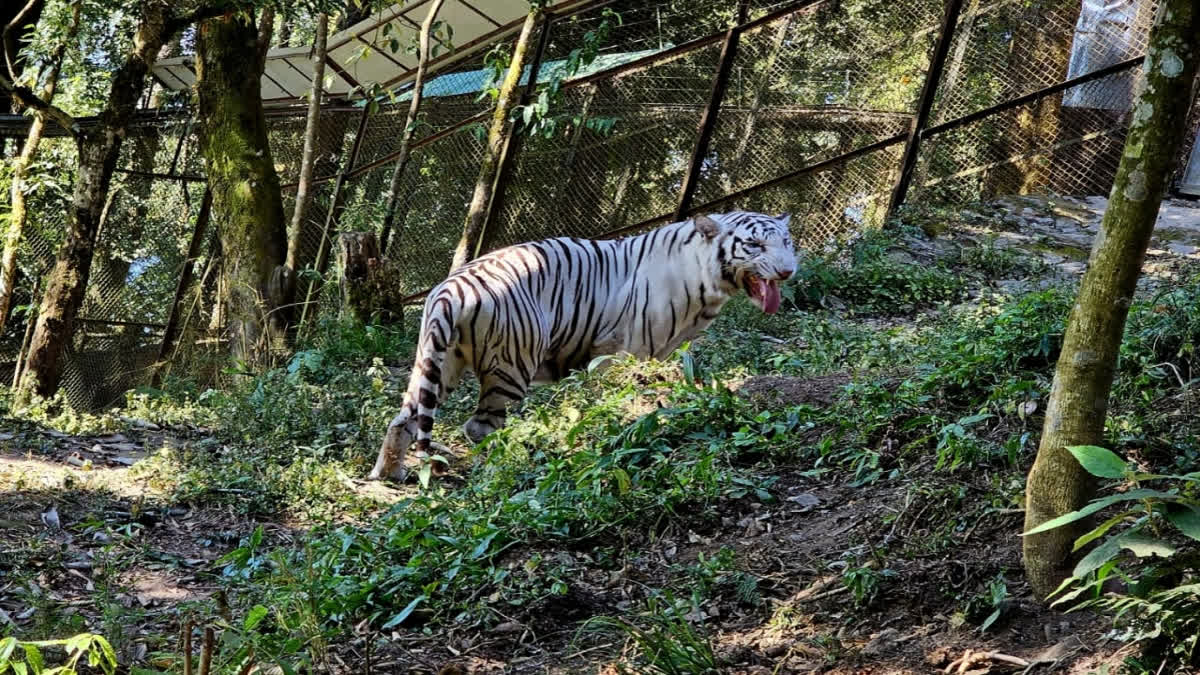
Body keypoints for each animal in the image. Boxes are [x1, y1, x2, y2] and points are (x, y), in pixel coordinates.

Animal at [367, 210, 796, 478]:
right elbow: (620, 393)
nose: (788, 271)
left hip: (439, 362)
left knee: (404, 417)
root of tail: (449, 290)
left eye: (788, 242)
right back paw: (506, 463)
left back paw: (390, 474)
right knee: (480, 426)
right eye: (755, 245)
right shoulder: (625, 350)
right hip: (511, 366)